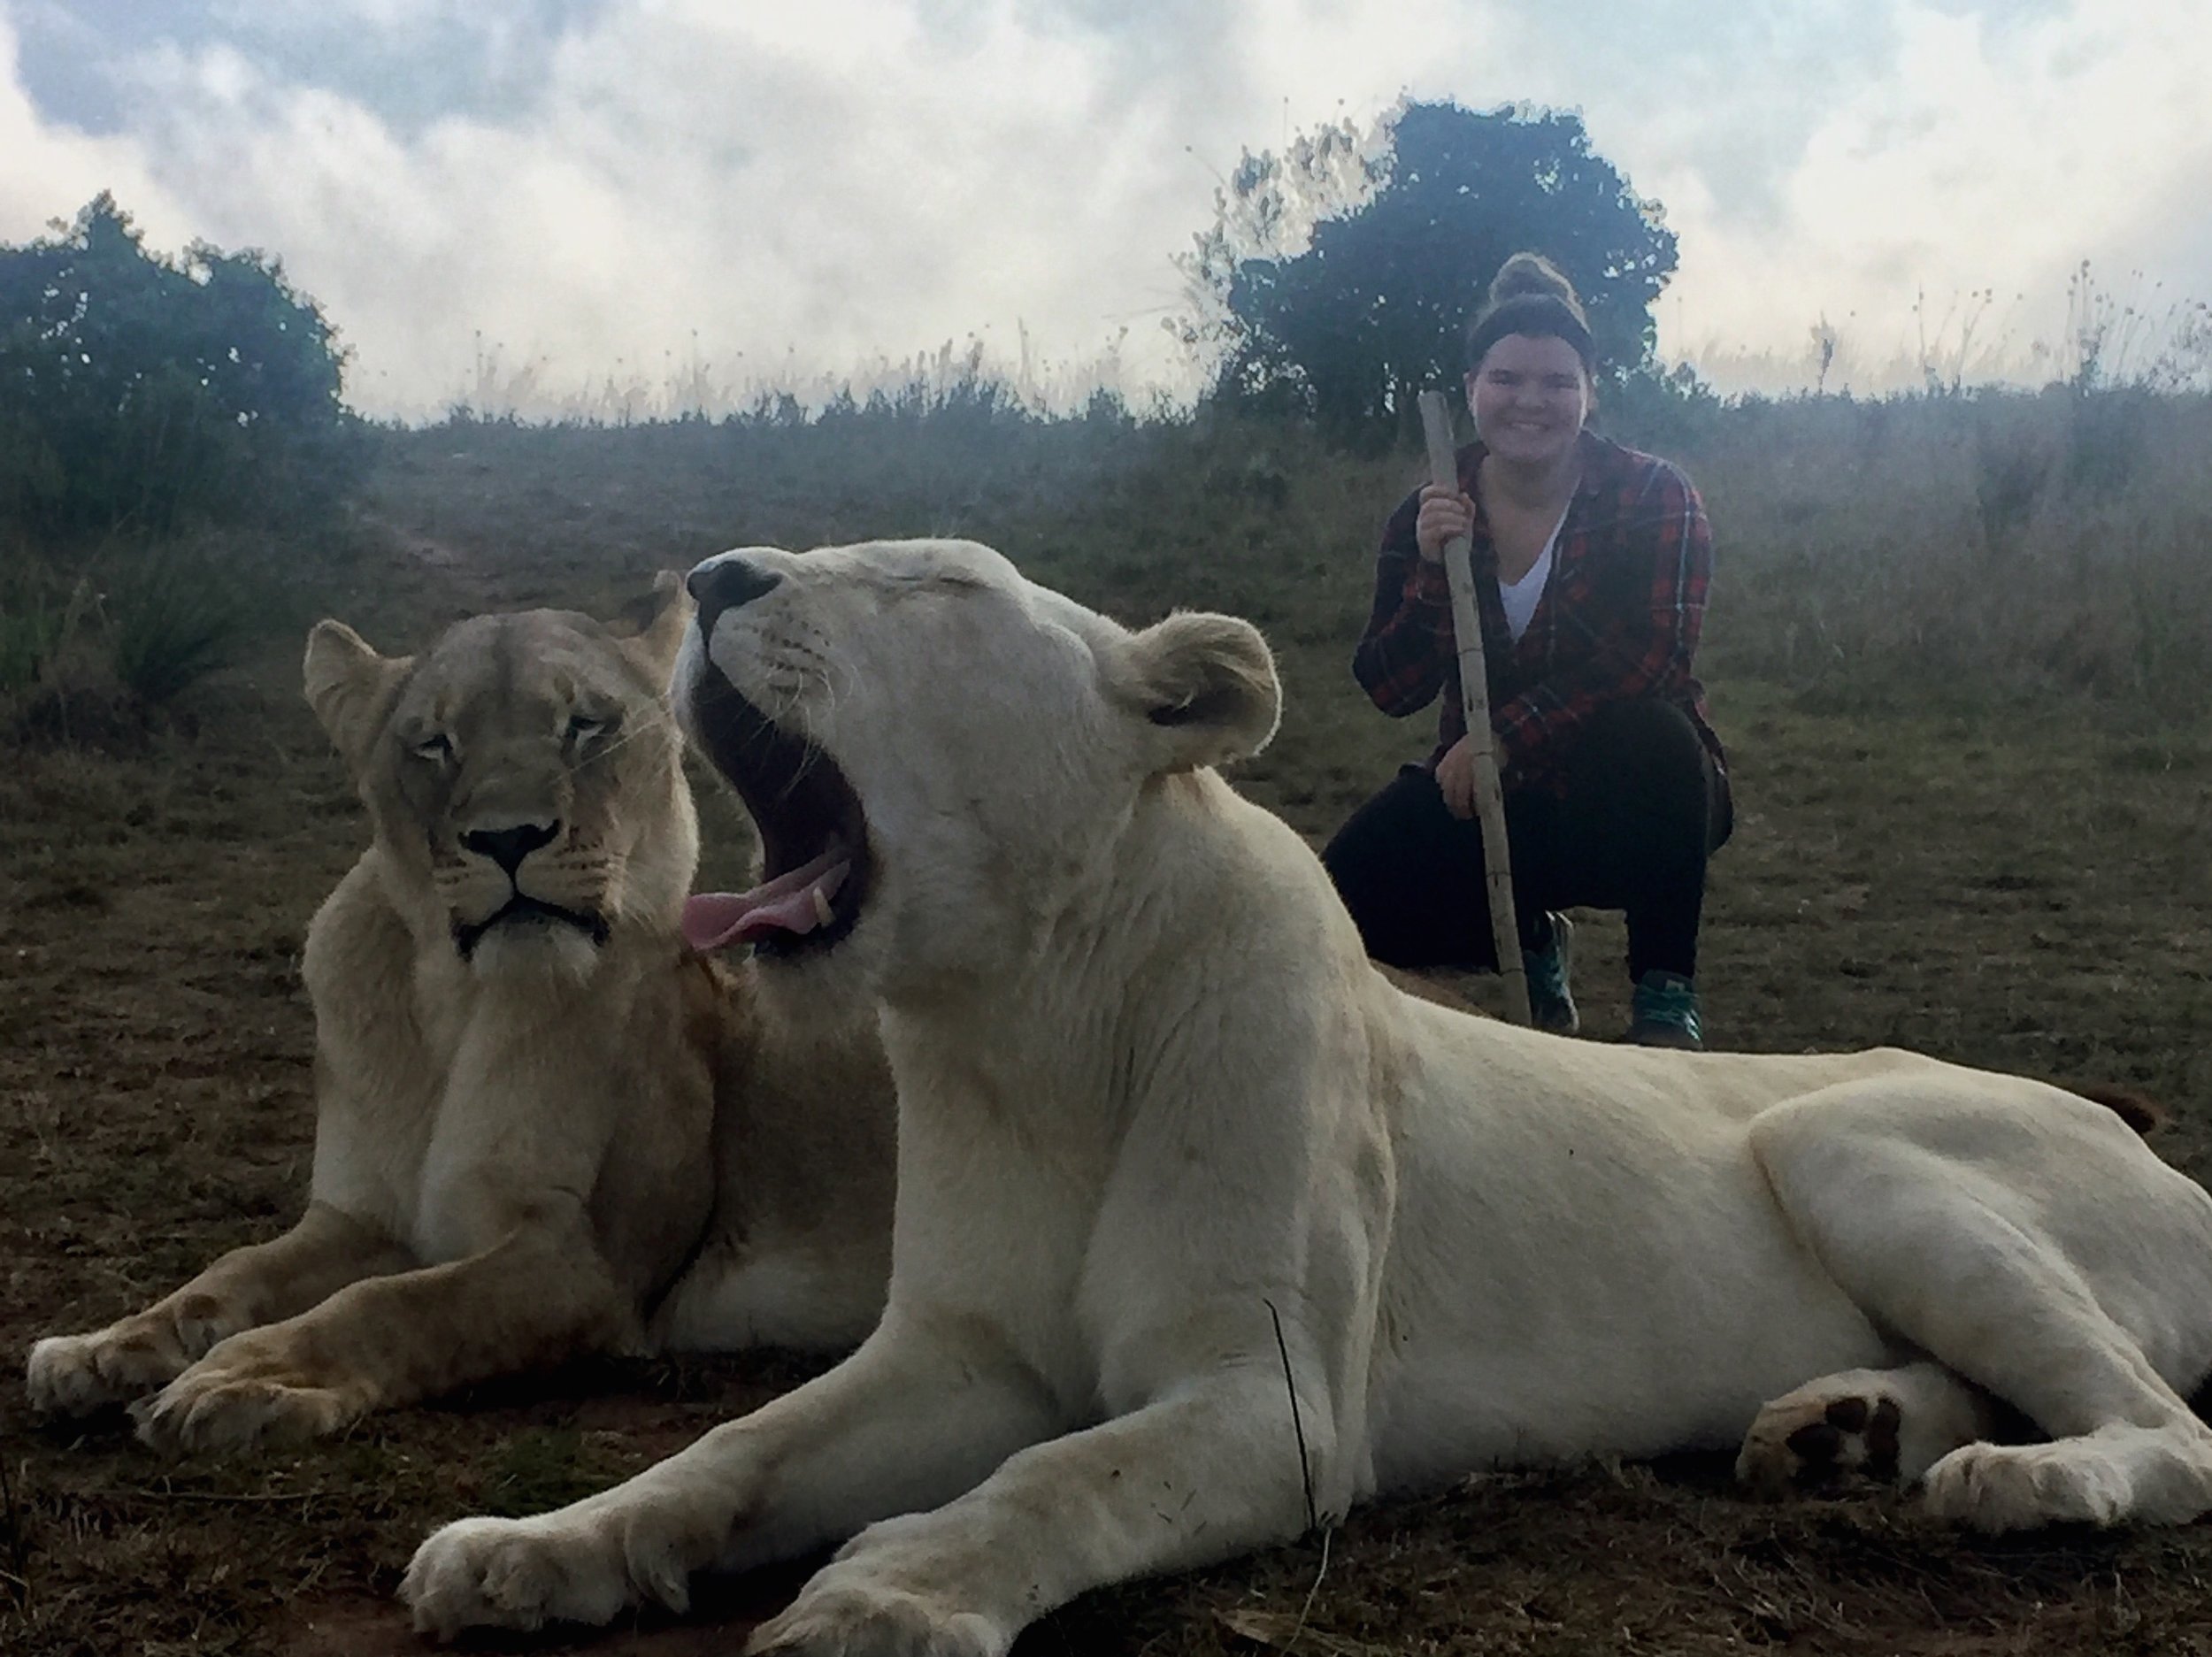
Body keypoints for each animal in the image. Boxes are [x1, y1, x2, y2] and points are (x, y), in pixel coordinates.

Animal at [403, 537, 2212, 1645]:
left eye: (941, 584)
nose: (714, 575)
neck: (1022, 1031)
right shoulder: (957, 1356)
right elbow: (735, 1446)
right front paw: (531, 1547)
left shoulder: (1274, 1401)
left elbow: (1055, 1479)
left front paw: (886, 1592)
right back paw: (1840, 1430)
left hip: (1839, 1133)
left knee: (2173, 1429)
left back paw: (2024, 1481)